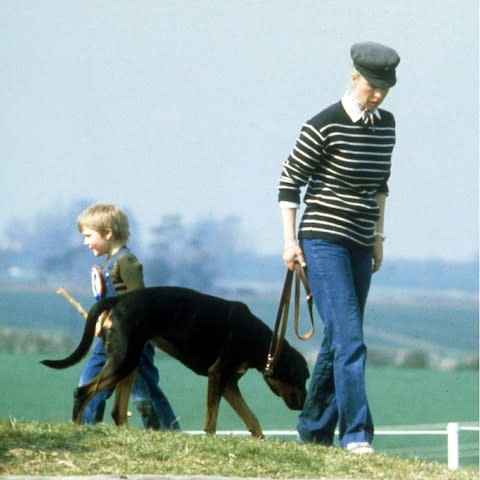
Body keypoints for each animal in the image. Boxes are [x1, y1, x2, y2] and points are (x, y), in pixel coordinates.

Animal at [43, 284, 310, 438]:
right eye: (302, 377)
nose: (304, 403)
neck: (259, 340)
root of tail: (117, 301)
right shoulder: (218, 374)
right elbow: (211, 419)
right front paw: (211, 441)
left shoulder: (229, 383)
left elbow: (252, 419)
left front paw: (260, 441)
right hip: (123, 360)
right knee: (82, 392)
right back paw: (76, 428)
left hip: (130, 363)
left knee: (118, 411)